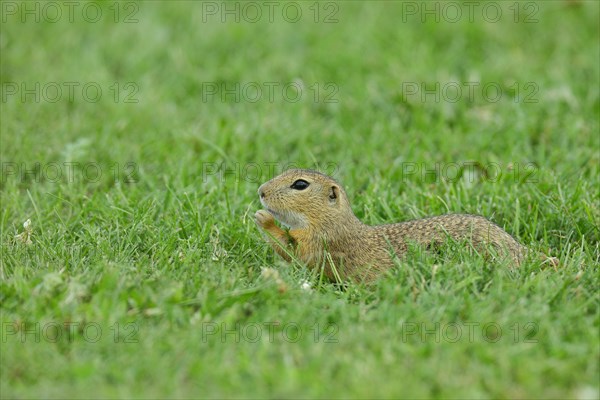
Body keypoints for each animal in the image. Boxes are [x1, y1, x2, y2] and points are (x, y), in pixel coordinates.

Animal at [254, 169, 556, 284]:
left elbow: (294, 252)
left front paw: (263, 218)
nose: (261, 191)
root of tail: (520, 250)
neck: (334, 220)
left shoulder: (322, 241)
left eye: (300, 184)